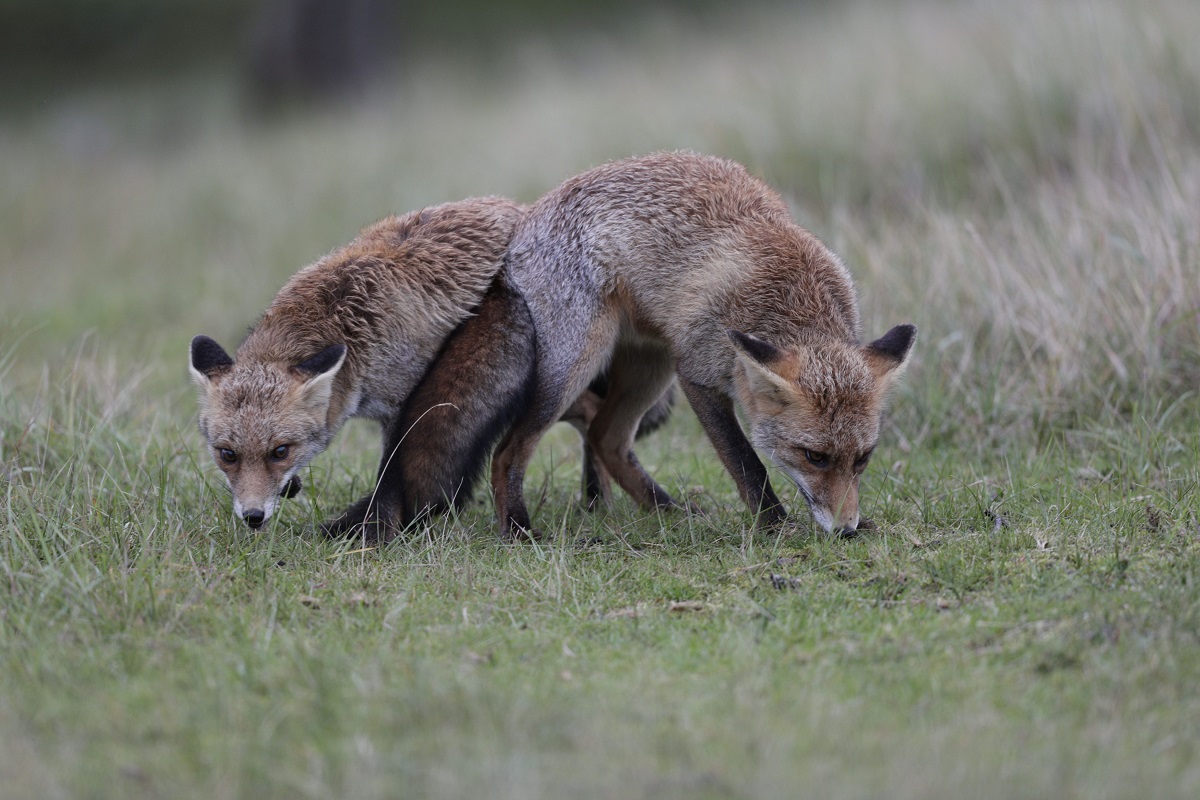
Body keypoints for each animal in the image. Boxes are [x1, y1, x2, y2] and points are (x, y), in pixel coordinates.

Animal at [187, 196, 535, 542]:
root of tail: (516, 204)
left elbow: (391, 476)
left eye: (280, 451)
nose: (253, 517)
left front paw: (379, 531)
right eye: (227, 454)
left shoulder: (402, 406)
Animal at [489, 151, 916, 537]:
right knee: (507, 451)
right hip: (577, 365)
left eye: (863, 458)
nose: (847, 530)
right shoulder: (697, 374)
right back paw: (518, 529)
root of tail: (527, 215)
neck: (793, 296)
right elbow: (747, 462)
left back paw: (669, 511)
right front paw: (774, 525)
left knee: (605, 437)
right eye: (816, 457)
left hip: (651, 367)